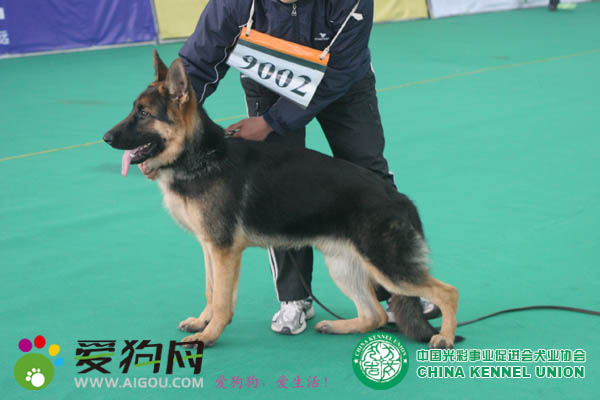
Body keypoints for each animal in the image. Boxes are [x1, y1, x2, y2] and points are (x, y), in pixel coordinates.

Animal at [103, 50, 459, 349]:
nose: (105, 138)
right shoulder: (210, 248)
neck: (201, 156)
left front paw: (209, 334)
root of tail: (401, 198)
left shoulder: (224, 251)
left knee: (447, 292)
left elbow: (221, 300)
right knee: (375, 315)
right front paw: (203, 322)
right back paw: (339, 326)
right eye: (134, 110)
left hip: (387, 266)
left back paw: (444, 337)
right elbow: (211, 290)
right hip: (343, 265)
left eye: (143, 114)